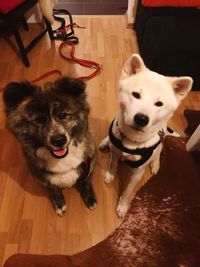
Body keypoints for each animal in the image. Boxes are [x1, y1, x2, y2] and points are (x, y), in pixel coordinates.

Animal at [99, 53, 193, 219]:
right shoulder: (115, 152)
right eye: (136, 94)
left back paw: (155, 164)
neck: (131, 141)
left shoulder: (138, 172)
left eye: (159, 104)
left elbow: (128, 190)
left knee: (158, 152)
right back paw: (105, 142)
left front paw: (123, 205)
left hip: (160, 143)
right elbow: (112, 163)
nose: (141, 119)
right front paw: (110, 174)